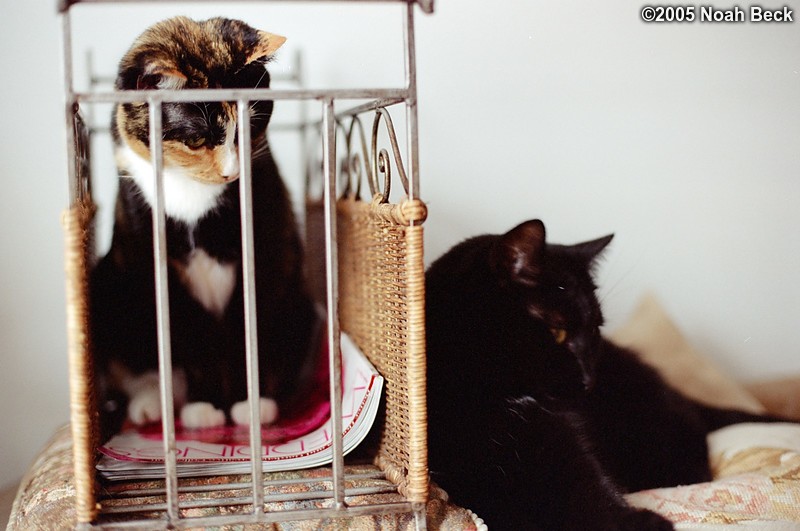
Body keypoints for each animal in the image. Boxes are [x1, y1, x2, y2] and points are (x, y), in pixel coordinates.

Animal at [89, 16, 320, 440]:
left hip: (299, 304)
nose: (231, 171)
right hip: (111, 285)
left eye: (249, 128)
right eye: (196, 139)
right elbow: (192, 342)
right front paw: (205, 407)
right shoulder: (164, 274)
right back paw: (152, 407)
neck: (192, 197)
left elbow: (250, 328)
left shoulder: (264, 254)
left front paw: (251, 405)